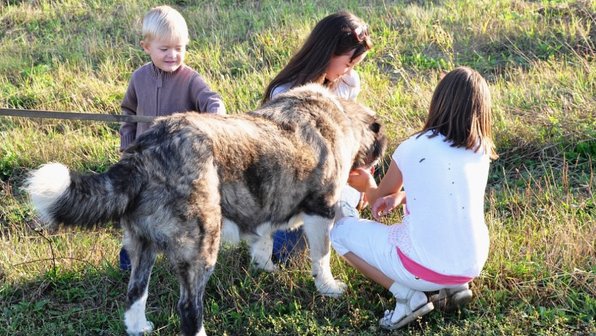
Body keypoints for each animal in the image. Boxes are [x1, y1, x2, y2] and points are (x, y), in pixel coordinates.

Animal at [26, 84, 386, 336]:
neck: (337, 114)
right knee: (188, 308)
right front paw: (329, 288)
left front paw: (265, 268)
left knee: (135, 292)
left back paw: (138, 326)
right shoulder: (320, 211)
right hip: (201, 246)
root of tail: (146, 151)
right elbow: (322, 256)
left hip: (143, 245)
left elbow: (263, 240)